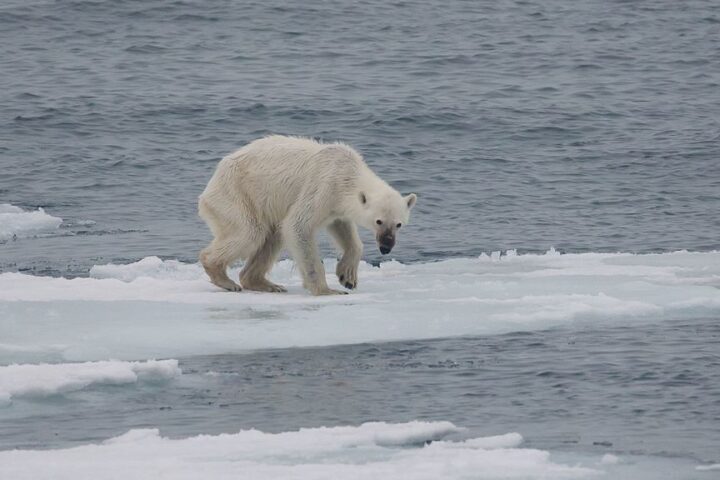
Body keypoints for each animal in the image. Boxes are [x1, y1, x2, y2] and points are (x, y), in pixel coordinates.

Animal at [200, 133, 420, 294]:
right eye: (379, 221)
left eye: (399, 224)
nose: (386, 247)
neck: (347, 173)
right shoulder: (323, 186)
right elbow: (298, 226)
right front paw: (327, 290)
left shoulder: (336, 205)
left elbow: (343, 228)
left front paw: (347, 277)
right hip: (237, 194)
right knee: (250, 233)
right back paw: (224, 278)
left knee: (272, 236)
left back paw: (266, 284)